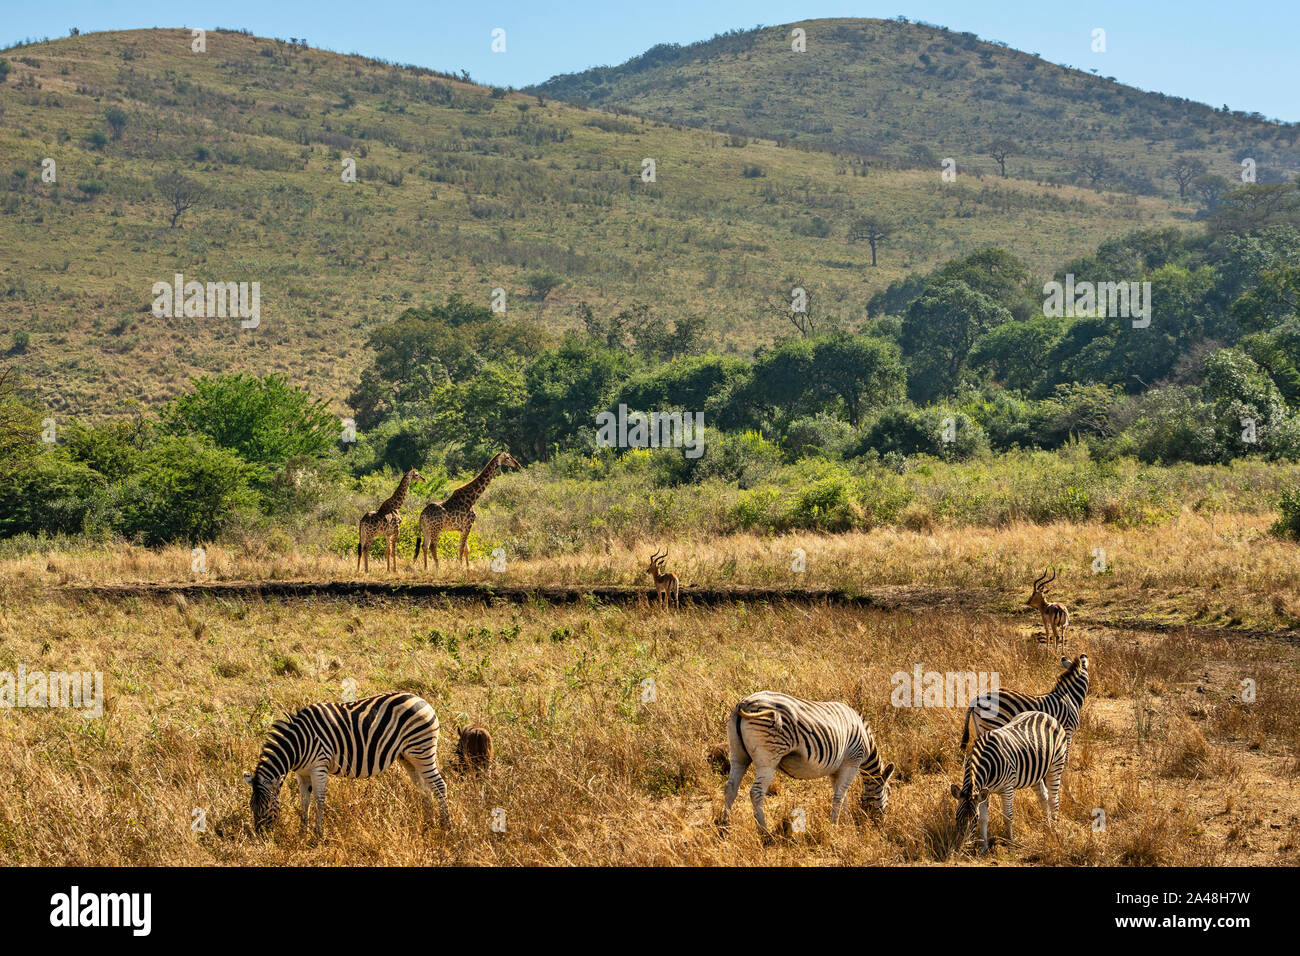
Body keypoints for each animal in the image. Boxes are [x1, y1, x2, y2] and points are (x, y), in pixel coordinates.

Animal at [241, 686, 449, 837]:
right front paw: (302, 832)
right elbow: (304, 802)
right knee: (424, 788)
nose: (260, 836)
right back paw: (428, 823)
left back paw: (447, 826)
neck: (298, 745)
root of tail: (422, 700)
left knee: (439, 786)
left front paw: (318, 835)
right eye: (251, 806)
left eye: (268, 806)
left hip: (422, 750)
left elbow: (318, 800)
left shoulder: (319, 766)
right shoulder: (302, 773)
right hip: (408, 757)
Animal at [722, 691, 894, 832]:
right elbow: (839, 796)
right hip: (768, 759)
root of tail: (745, 702)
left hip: (738, 755)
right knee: (756, 793)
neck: (866, 739)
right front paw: (834, 826)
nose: (881, 825)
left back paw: (725, 826)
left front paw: (845, 821)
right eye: (889, 792)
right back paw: (764, 832)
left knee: (730, 788)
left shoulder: (836, 770)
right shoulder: (852, 762)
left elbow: (842, 795)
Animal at [951, 712, 1071, 853]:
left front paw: (1011, 843)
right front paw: (983, 847)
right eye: (957, 817)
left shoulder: (1007, 788)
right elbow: (985, 819)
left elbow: (1007, 816)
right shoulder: (984, 791)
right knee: (1043, 796)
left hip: (1056, 765)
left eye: (974, 819)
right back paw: (1047, 824)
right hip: (1035, 773)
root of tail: (1045, 714)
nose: (964, 848)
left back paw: (1054, 829)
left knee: (1053, 799)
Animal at [956, 655, 1086, 759]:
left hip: (980, 726)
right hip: (993, 724)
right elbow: (1066, 753)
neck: (1070, 696)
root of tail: (977, 698)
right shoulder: (1068, 730)